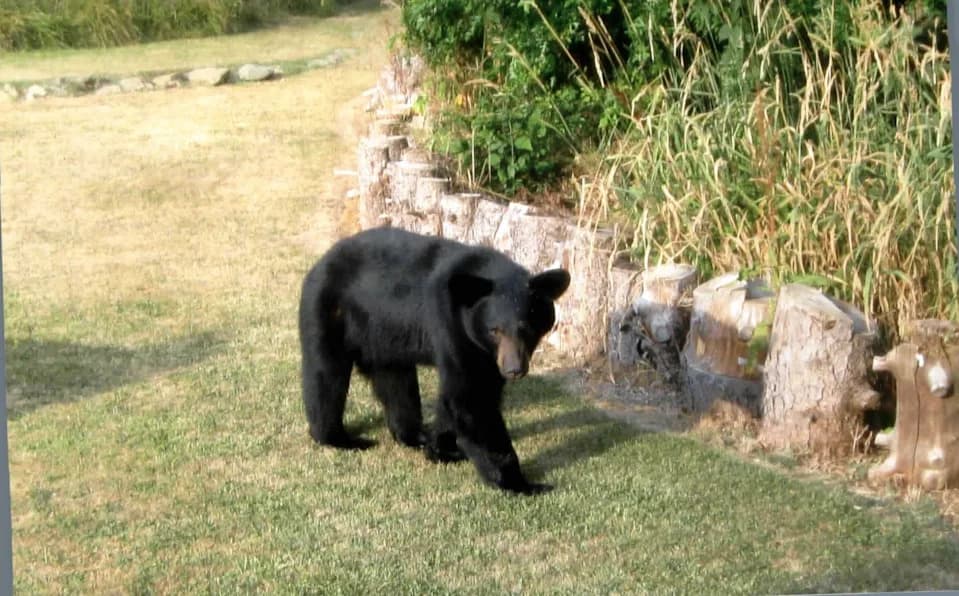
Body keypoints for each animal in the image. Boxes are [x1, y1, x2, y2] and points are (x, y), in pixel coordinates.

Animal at [298, 227, 570, 494]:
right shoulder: (452, 325)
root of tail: (322, 261)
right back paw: (339, 438)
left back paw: (415, 436)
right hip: (328, 310)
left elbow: (469, 393)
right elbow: (471, 395)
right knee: (326, 375)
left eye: (527, 328)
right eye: (495, 330)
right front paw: (521, 483)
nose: (514, 369)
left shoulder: (486, 352)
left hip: (384, 335)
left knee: (396, 382)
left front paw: (441, 448)